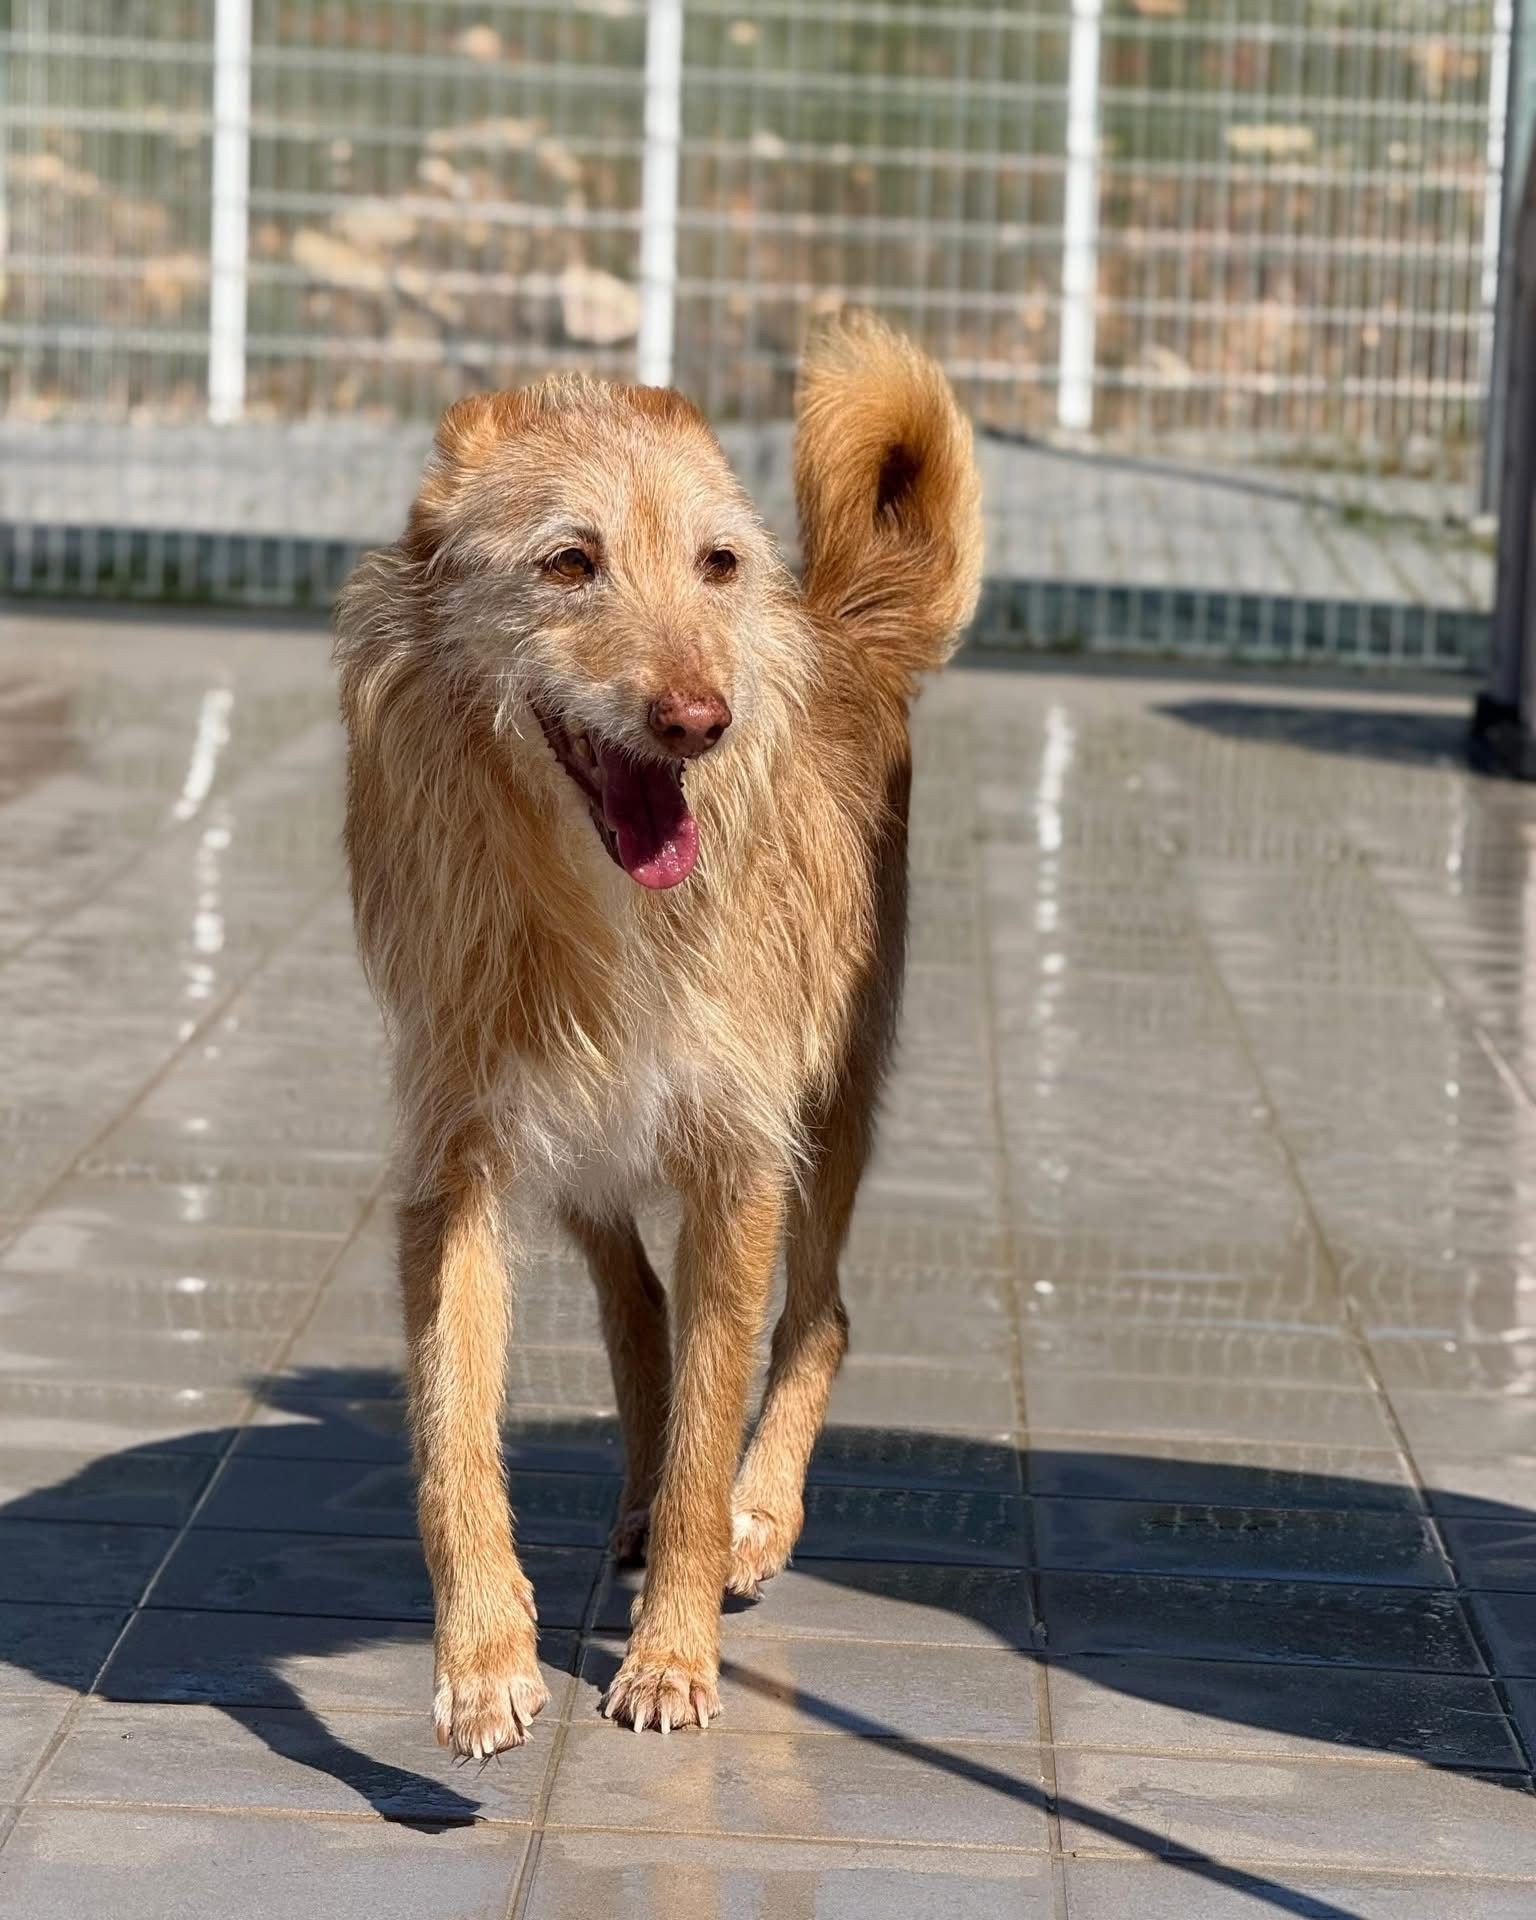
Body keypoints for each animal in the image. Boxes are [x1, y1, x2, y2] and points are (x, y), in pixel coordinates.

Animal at [333, 312, 983, 1755]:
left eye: (717, 564)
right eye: (569, 563)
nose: (701, 721)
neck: (608, 913)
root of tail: (836, 628)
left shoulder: (737, 1162)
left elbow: (704, 1434)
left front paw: (674, 1650)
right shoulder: (458, 1164)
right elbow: (453, 1435)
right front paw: (483, 1659)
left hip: (832, 1113)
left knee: (817, 1317)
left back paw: (760, 1516)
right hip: (587, 1154)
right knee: (636, 1307)